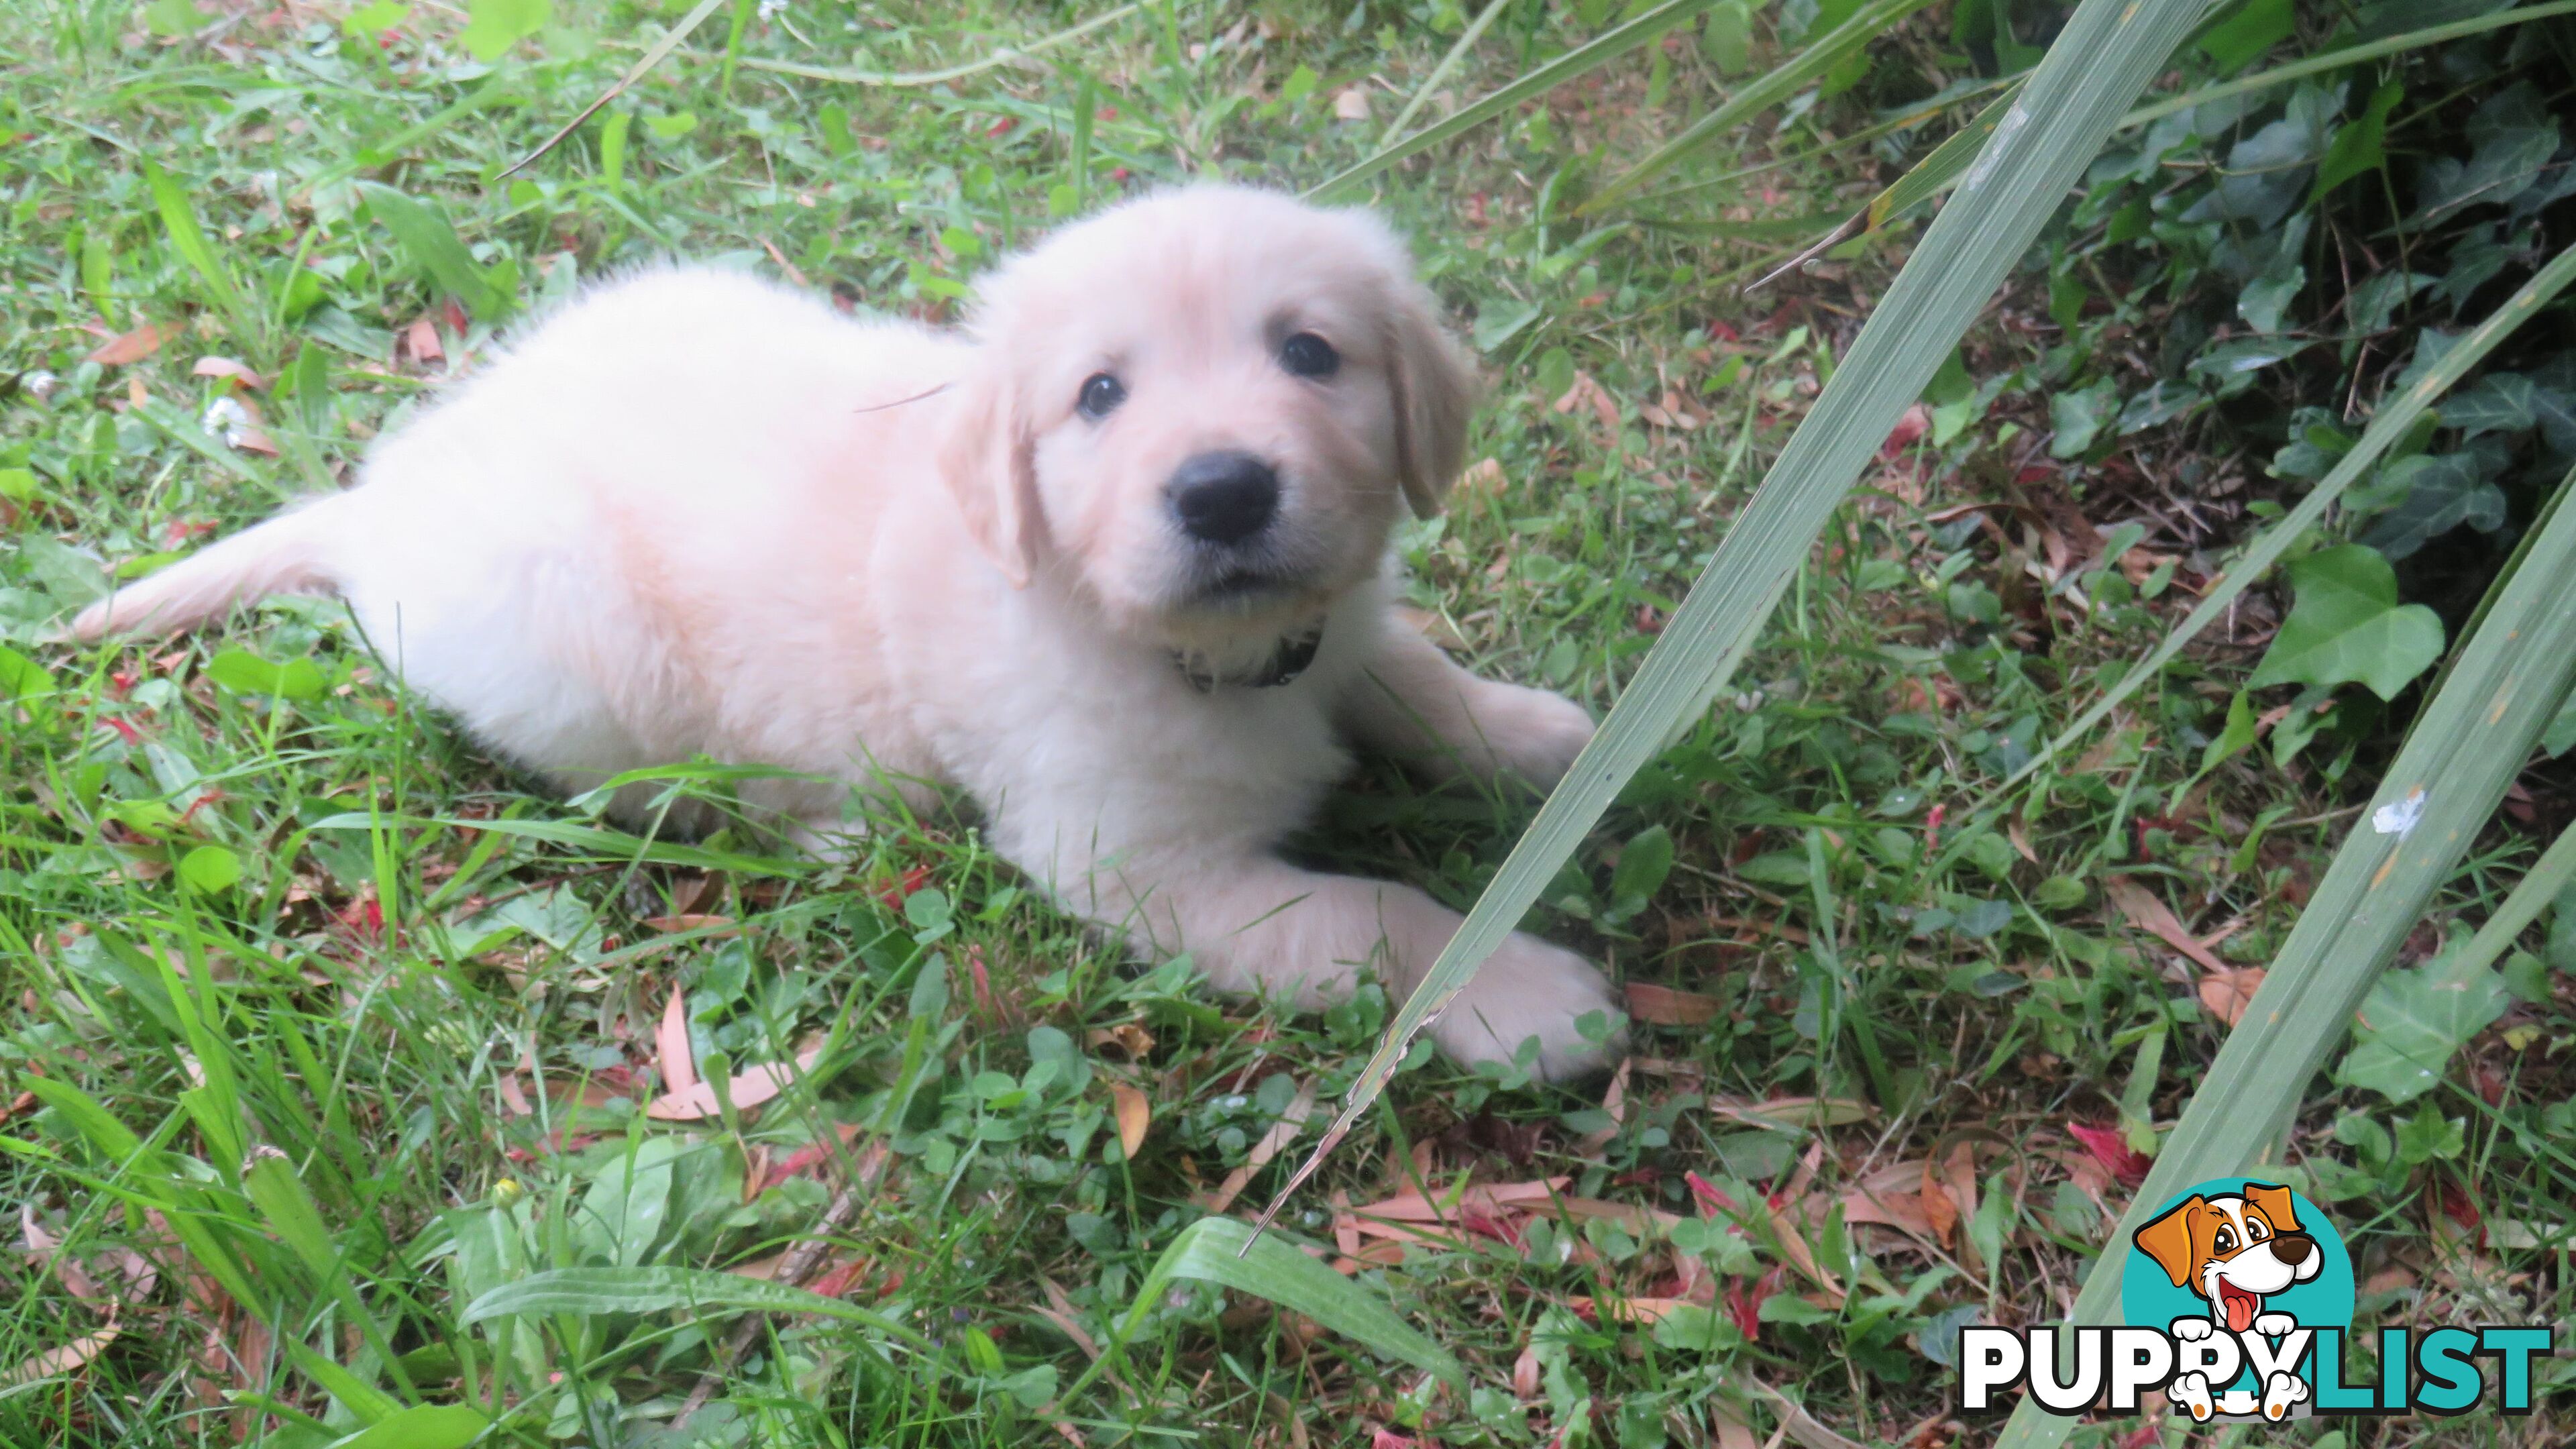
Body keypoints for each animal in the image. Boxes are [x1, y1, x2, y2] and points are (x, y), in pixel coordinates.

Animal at [80, 185, 1617, 1072]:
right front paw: (1524, 996)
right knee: (645, 786)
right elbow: (1374, 918)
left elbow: (1408, 671)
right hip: (580, 642)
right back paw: (827, 825)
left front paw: (1537, 740)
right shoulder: (1140, 867)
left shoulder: (1333, 627)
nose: (1225, 490)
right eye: (1099, 396)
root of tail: (386, 498)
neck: (1207, 656)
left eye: (1309, 353)